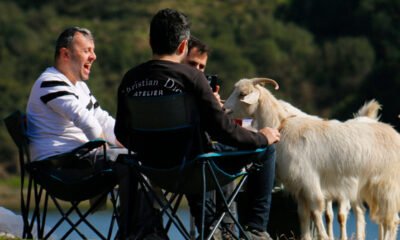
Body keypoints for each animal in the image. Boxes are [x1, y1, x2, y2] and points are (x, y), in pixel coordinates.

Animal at [222, 78, 400, 239]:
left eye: (242, 94)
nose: (224, 109)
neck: (283, 127)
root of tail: (393, 132)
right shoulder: (300, 189)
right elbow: (303, 217)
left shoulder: (310, 182)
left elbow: (316, 213)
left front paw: (324, 237)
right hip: (368, 188)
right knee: (380, 218)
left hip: (386, 186)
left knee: (391, 221)